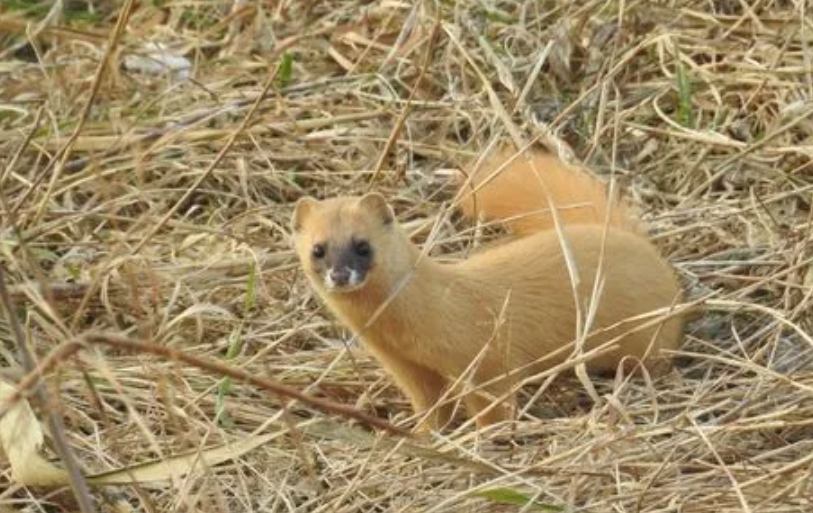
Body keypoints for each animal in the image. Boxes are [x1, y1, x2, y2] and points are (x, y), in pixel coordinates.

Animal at [288, 146, 680, 430]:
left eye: (362, 245)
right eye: (318, 249)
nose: (340, 273)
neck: (405, 334)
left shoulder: (485, 357)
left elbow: (494, 404)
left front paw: (488, 437)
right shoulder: (408, 367)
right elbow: (430, 404)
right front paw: (425, 434)